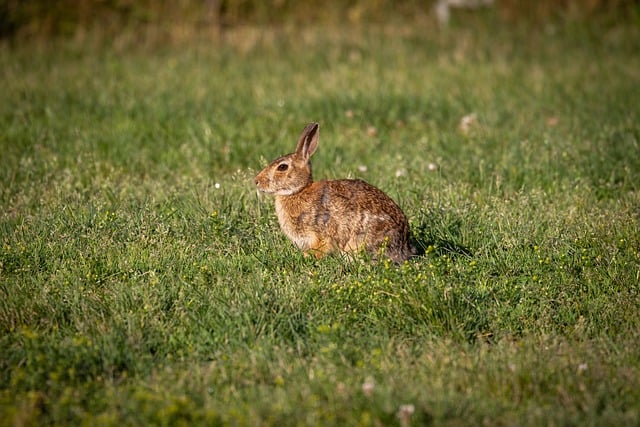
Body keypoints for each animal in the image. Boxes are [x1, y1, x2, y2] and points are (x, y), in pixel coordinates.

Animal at [255, 122, 416, 264]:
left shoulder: (320, 233)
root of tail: (403, 247)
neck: (299, 191)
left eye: (282, 167)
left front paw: (308, 257)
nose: (256, 181)